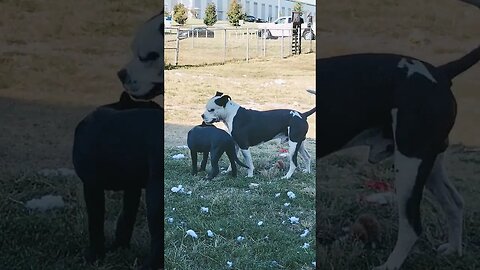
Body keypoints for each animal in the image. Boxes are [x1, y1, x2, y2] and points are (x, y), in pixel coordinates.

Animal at [72, 10, 164, 270]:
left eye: (147, 56)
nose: (120, 73)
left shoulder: (91, 185)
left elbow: (95, 224)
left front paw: (94, 255)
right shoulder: (132, 188)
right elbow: (126, 216)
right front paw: (119, 245)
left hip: (155, 195)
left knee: (158, 239)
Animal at [316, 21, 480, 270]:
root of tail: (440, 73)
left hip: (409, 165)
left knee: (412, 227)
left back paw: (388, 266)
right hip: (429, 164)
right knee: (455, 204)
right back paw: (453, 250)